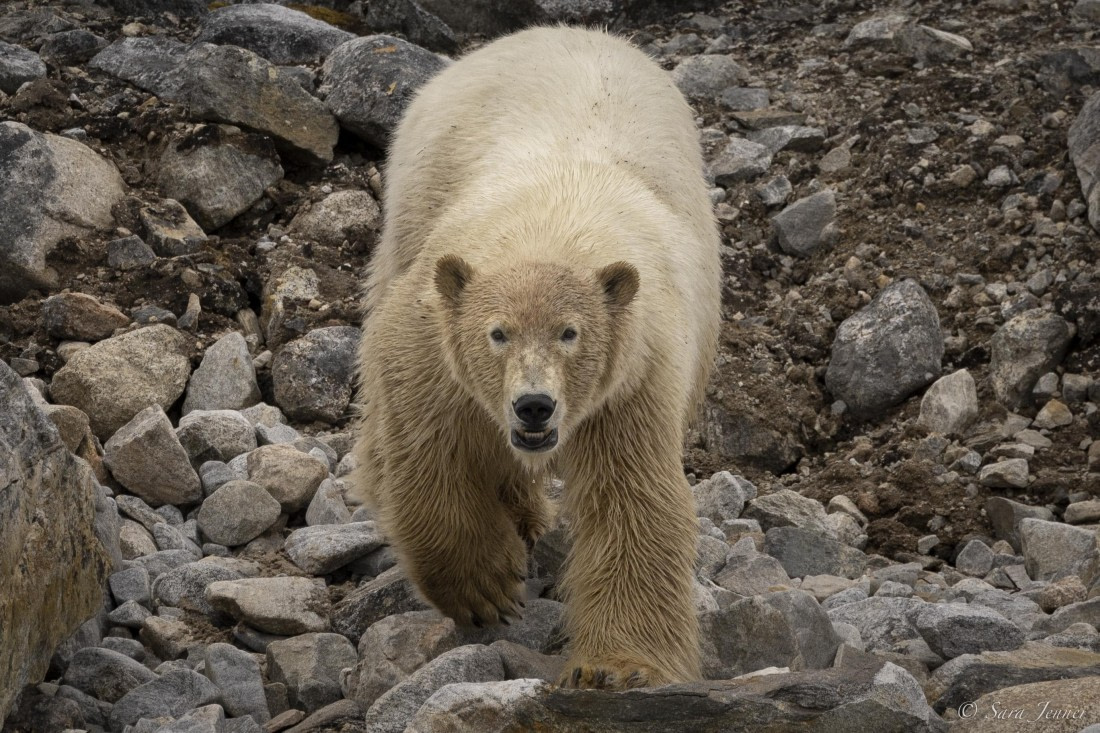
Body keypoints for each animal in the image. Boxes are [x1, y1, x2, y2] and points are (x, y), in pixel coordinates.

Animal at [352, 26, 720, 690]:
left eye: (571, 334)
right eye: (497, 333)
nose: (533, 407)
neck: (554, 233)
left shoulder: (633, 376)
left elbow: (632, 502)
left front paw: (615, 669)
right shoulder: (433, 336)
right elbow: (429, 449)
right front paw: (484, 588)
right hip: (414, 196)